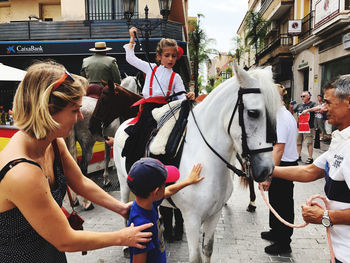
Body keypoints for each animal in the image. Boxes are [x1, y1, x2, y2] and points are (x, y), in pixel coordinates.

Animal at [113, 63, 280, 262]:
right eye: (253, 113)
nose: (267, 170)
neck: (205, 159)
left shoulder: (214, 215)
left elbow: (208, 249)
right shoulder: (192, 219)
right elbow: (195, 257)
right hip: (124, 183)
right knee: (124, 209)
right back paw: (126, 245)